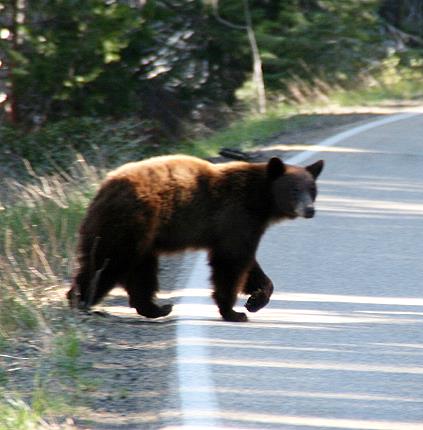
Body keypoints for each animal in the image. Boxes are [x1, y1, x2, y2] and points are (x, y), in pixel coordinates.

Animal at [67, 155, 324, 322]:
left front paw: (255, 300)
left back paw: (156, 308)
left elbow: (248, 263)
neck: (260, 201)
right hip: (131, 222)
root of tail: (103, 189)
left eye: (312, 189)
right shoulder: (236, 216)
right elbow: (232, 261)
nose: (309, 210)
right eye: (294, 190)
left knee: (139, 270)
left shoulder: (241, 226)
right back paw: (82, 302)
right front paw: (234, 312)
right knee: (108, 262)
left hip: (140, 236)